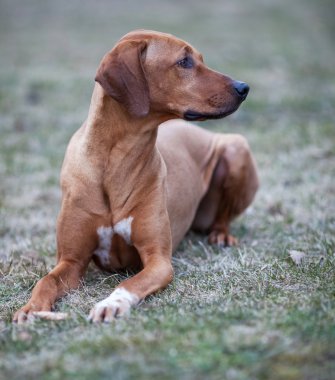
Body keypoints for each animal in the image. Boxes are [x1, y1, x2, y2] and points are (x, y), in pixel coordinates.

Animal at [13, 29, 260, 324]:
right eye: (185, 61)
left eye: (199, 59)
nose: (244, 87)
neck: (115, 162)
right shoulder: (71, 261)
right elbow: (46, 281)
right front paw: (30, 309)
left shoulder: (159, 261)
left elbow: (129, 283)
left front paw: (110, 303)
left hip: (237, 148)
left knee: (223, 218)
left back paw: (221, 235)